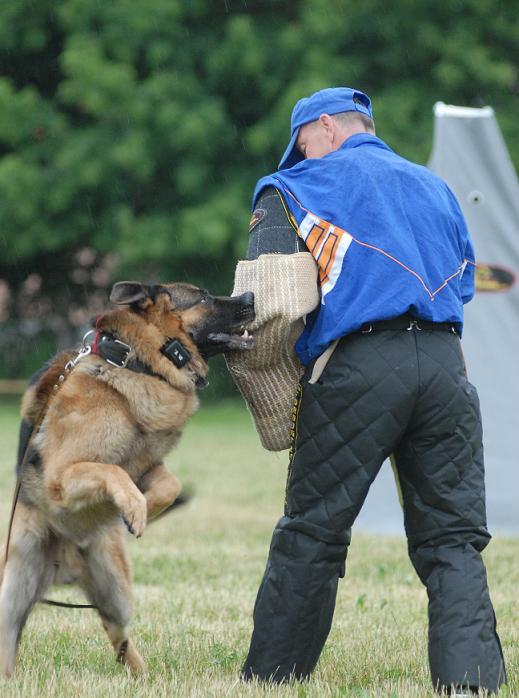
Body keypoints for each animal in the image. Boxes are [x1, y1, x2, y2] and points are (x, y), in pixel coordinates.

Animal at [0, 278, 254, 676]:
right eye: (202, 297)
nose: (251, 296)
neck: (138, 364)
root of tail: (63, 564)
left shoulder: (148, 467)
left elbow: (168, 485)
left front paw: (138, 509)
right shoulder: (63, 475)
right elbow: (111, 469)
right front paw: (133, 508)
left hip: (117, 592)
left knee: (115, 631)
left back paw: (140, 673)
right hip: (11, 591)